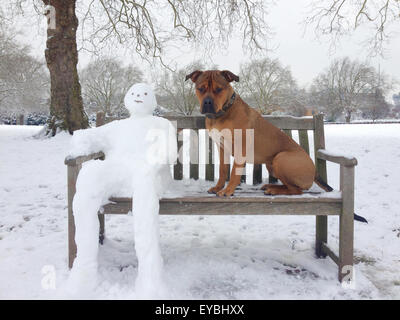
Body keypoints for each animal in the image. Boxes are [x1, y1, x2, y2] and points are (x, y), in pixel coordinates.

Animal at [186, 70, 326, 198]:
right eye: (200, 88)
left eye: (219, 89)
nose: (207, 102)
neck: (223, 112)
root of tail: (315, 172)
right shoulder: (221, 147)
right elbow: (222, 170)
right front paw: (218, 187)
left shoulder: (240, 148)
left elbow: (234, 172)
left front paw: (228, 190)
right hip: (271, 165)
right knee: (289, 186)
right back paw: (271, 186)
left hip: (281, 158)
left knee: (296, 190)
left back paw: (273, 190)